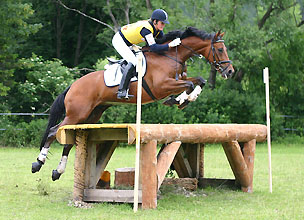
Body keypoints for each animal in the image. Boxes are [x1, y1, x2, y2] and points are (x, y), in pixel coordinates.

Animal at [31, 26, 235, 180]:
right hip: (77, 113)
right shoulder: (161, 86)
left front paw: (185, 99)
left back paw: (57, 171)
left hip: (92, 114)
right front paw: (179, 100)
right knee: (53, 132)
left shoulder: (178, 80)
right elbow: (190, 84)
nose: (230, 71)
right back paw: (38, 163)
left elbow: (199, 80)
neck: (171, 56)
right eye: (219, 50)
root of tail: (73, 85)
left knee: (68, 140)